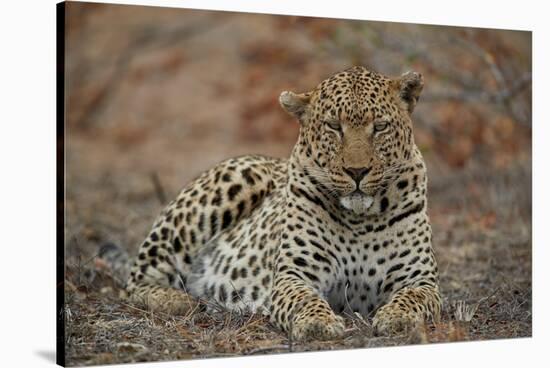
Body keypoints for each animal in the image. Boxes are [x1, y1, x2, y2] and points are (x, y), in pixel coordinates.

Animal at [118, 65, 442, 340]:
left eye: (381, 127)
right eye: (333, 126)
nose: (357, 171)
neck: (360, 219)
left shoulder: (419, 279)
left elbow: (412, 299)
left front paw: (397, 318)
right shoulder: (294, 274)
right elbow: (304, 300)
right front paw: (317, 323)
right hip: (228, 186)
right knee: (135, 282)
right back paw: (181, 300)